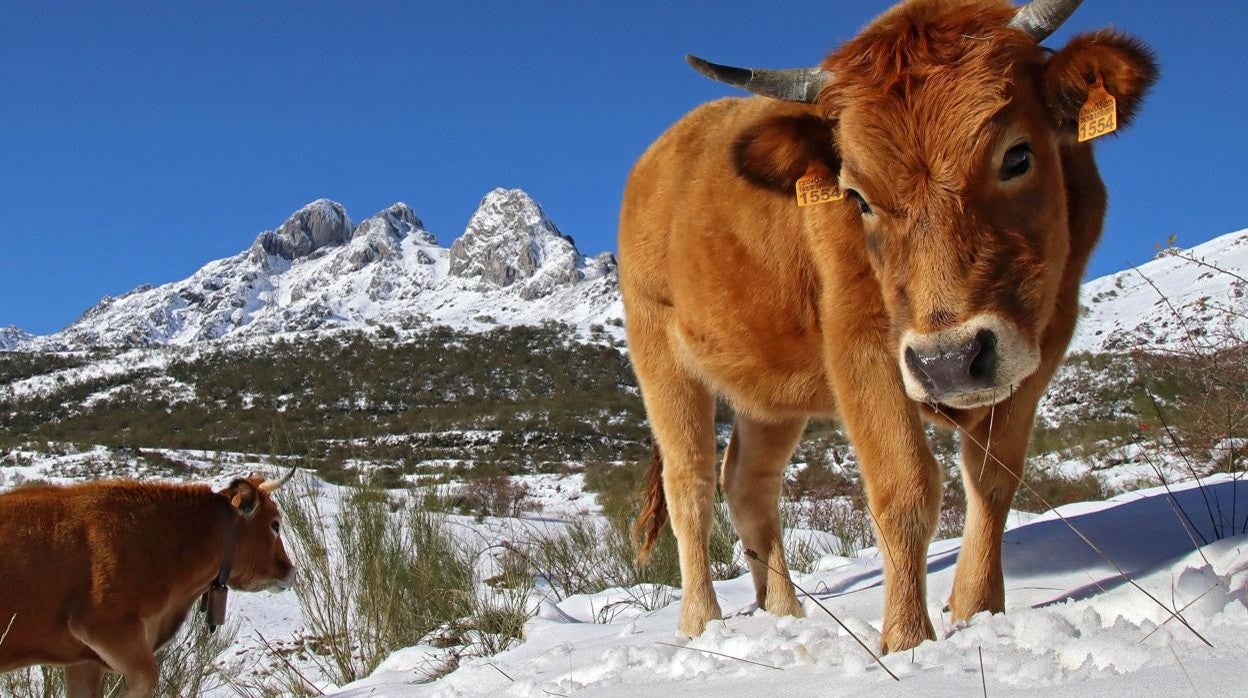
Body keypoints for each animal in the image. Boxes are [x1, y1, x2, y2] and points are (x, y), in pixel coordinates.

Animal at [624, 0, 1158, 654]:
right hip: (661, 358)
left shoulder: (1041, 342)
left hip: (769, 393)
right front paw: (908, 641)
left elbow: (993, 479)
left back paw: (783, 614)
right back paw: (702, 623)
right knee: (691, 486)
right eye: (856, 196)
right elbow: (905, 488)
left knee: (749, 484)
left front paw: (978, 611)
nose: (949, 362)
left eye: (1018, 156)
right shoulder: (863, 348)